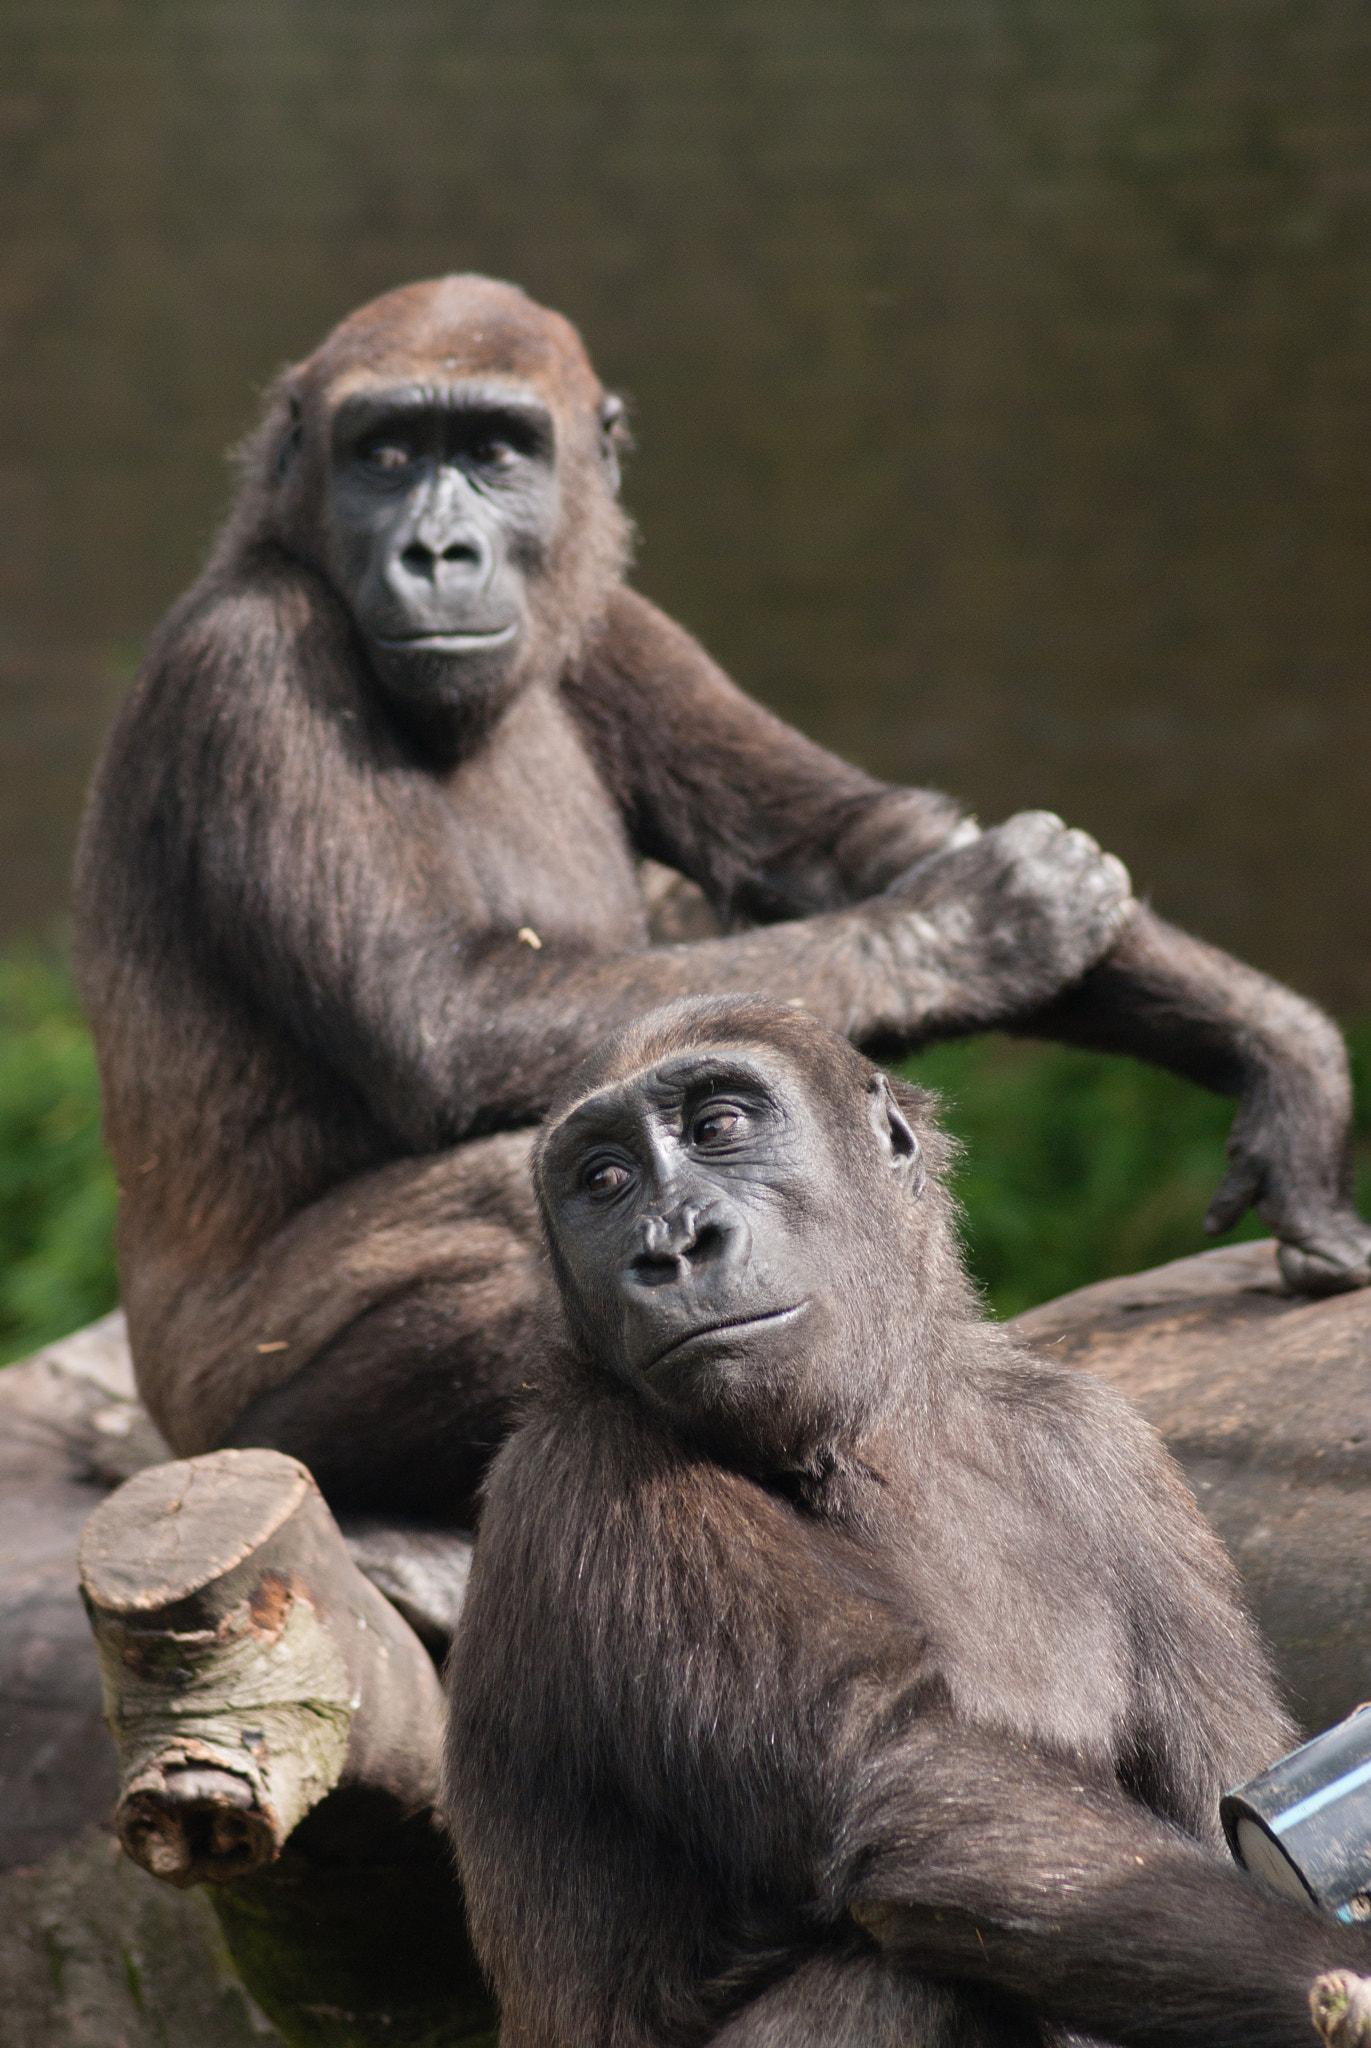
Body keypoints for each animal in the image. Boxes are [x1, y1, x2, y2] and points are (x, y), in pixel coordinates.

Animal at [448, 995, 1368, 2048]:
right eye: (603, 1180)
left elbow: (1229, 1797)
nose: (670, 1245)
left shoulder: (1108, 1448)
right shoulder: (584, 1466)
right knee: (905, 1974)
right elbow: (895, 1774)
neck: (872, 1430)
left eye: (718, 1125)